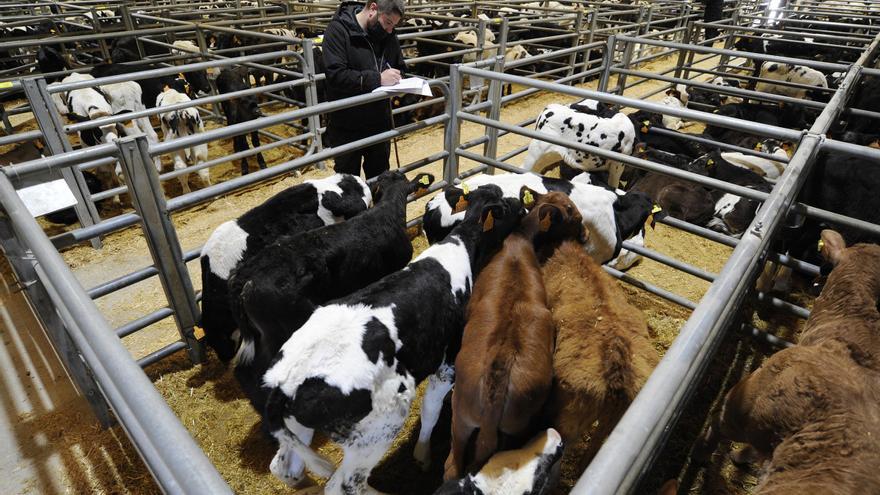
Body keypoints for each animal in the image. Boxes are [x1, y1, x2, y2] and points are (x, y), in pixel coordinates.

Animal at [262, 185, 524, 492]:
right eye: (503, 206)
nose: (522, 204)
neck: (461, 247)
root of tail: (285, 382)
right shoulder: (447, 364)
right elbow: (431, 409)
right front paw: (422, 454)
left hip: (300, 428)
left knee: (284, 467)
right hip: (379, 426)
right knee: (343, 485)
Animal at [444, 190, 588, 480]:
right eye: (573, 213)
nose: (586, 234)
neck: (519, 240)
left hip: (462, 417)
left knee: (453, 466)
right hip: (509, 428)